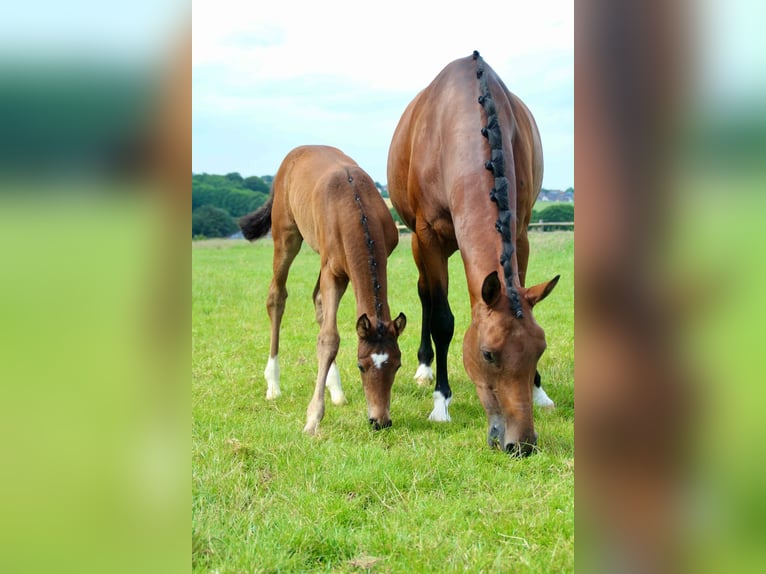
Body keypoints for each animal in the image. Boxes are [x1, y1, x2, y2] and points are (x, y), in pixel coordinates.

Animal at [239, 145, 406, 435]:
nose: (380, 421)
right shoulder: (332, 271)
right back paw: (273, 383)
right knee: (276, 297)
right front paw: (313, 418)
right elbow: (329, 338)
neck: (355, 206)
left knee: (317, 301)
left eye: (397, 365)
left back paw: (336, 390)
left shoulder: (373, 260)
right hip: (286, 235)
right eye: (361, 365)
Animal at [387, 51, 559, 456]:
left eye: (540, 350)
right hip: (420, 245)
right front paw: (441, 403)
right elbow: (442, 320)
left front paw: (539, 390)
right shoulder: (428, 237)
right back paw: (424, 367)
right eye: (487, 354)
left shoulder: (521, 231)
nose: (522, 444)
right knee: (425, 296)